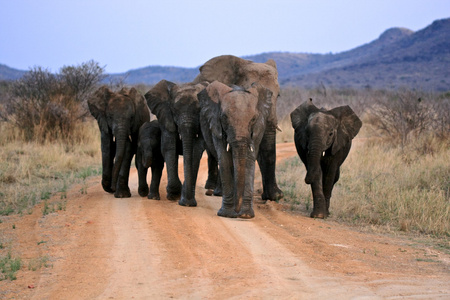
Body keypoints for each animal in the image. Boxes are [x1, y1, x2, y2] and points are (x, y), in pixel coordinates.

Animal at [199, 81, 272, 219]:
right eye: (224, 117)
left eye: (253, 119)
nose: (237, 212)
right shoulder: (216, 126)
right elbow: (224, 159)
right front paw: (227, 214)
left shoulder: (258, 128)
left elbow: (249, 159)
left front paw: (246, 216)